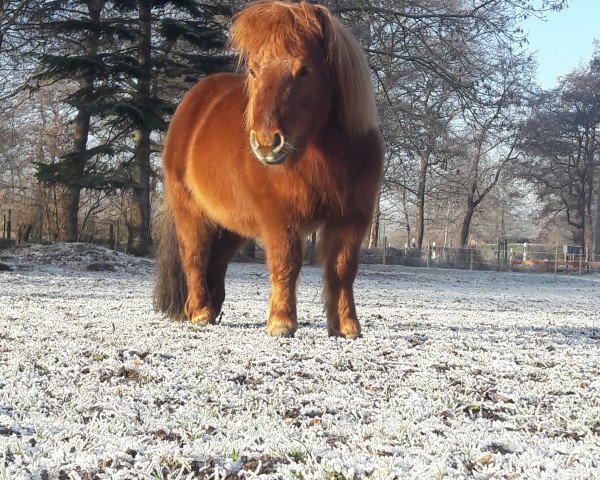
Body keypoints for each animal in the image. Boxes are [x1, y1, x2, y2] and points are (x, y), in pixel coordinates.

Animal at [152, 0, 382, 338]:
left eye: (304, 70)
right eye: (252, 70)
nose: (266, 142)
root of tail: (192, 103)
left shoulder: (352, 218)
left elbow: (342, 269)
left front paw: (347, 327)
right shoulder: (279, 218)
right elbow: (286, 262)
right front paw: (282, 323)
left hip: (231, 224)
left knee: (217, 261)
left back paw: (214, 310)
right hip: (191, 212)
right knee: (195, 256)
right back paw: (200, 312)